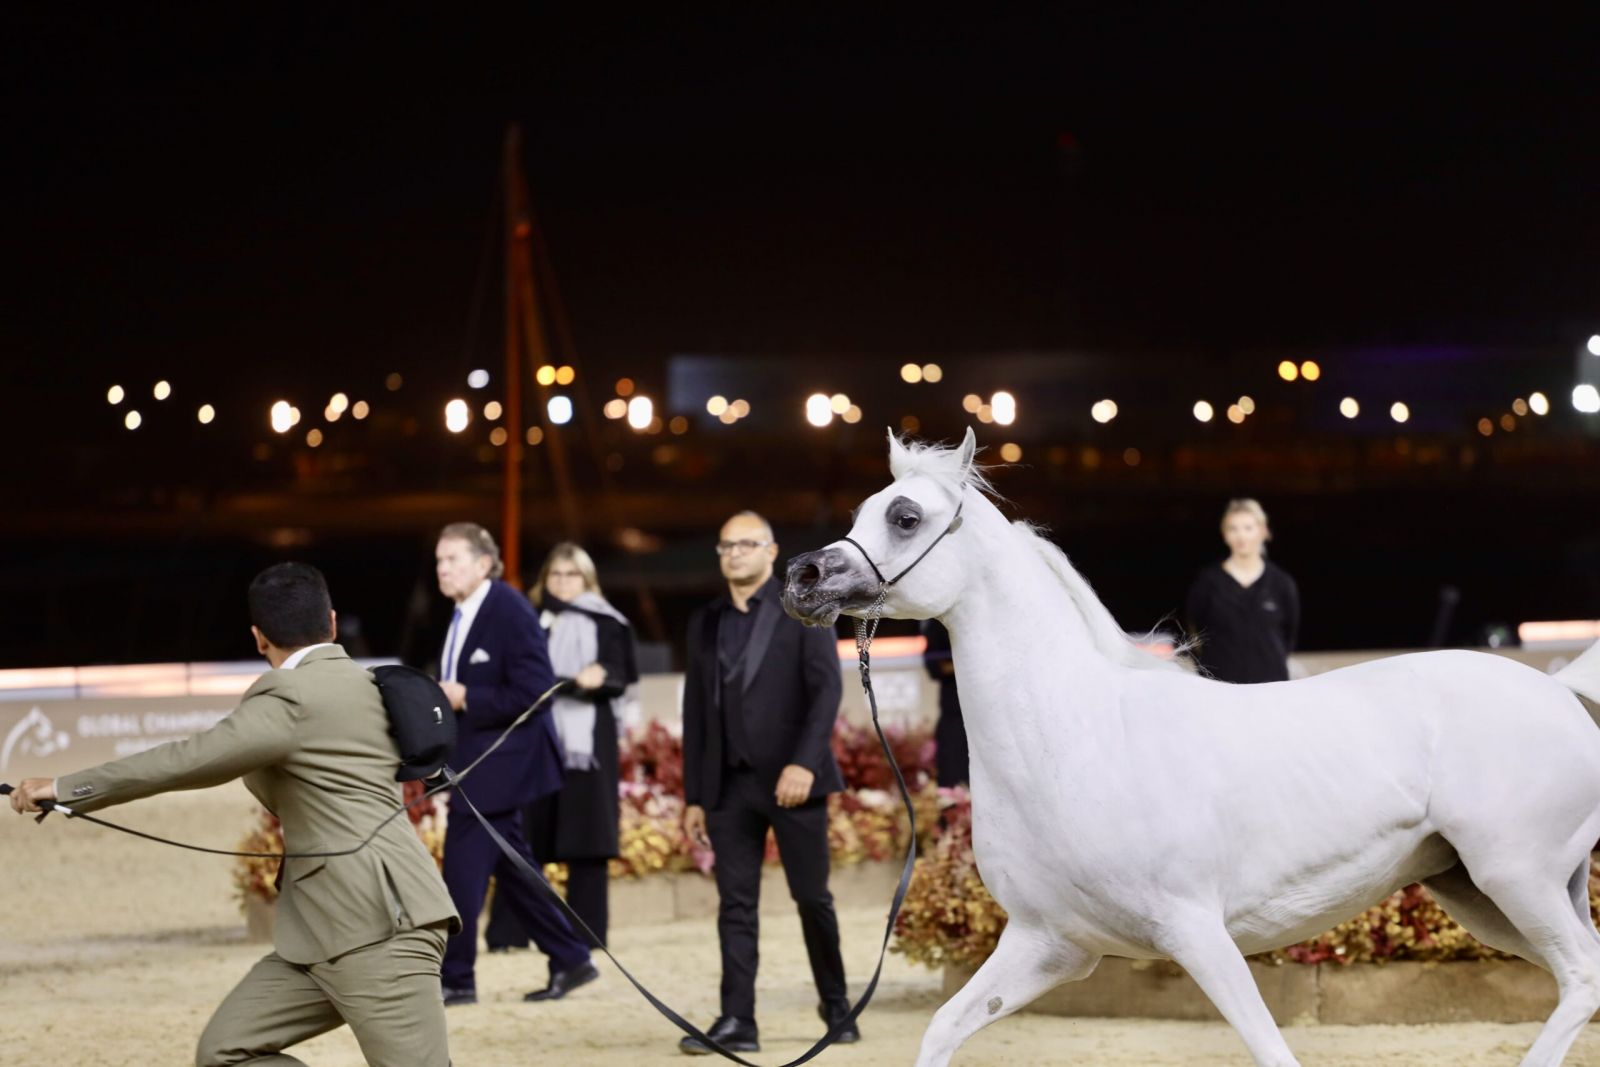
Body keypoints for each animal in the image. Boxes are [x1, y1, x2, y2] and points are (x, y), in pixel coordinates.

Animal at [780, 427, 1600, 1067]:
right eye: (861, 511)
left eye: (906, 516)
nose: (801, 577)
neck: (1076, 738)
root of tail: (1562, 693)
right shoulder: (1050, 943)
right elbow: (944, 1028)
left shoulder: (1196, 932)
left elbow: (1270, 1047)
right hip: (1482, 890)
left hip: (1514, 877)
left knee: (1581, 977)